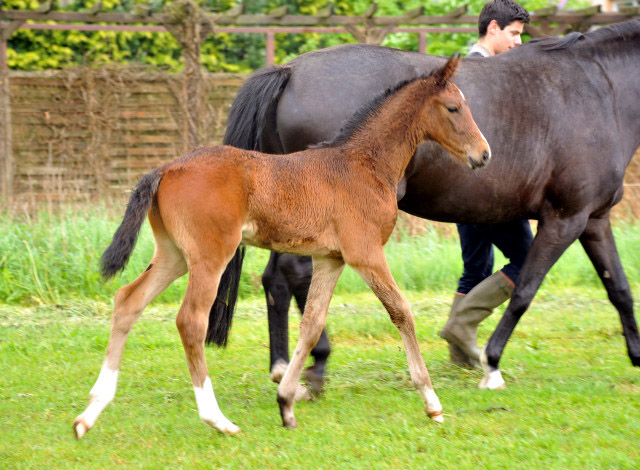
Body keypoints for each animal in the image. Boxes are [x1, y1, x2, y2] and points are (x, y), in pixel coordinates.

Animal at [72, 54, 488, 436]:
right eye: (454, 107)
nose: (483, 153)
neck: (363, 164)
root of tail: (166, 169)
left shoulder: (330, 259)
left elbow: (312, 322)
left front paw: (287, 402)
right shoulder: (365, 253)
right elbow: (402, 312)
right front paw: (431, 402)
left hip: (174, 255)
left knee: (128, 300)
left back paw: (90, 412)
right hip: (210, 255)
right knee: (190, 320)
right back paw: (217, 419)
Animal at [220, 20, 640, 392]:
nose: (483, 154)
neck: (598, 88)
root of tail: (289, 70)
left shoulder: (593, 219)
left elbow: (619, 288)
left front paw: (636, 357)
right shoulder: (565, 219)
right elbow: (524, 291)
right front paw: (492, 365)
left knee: (275, 278)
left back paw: (282, 366)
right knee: (296, 274)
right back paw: (317, 361)